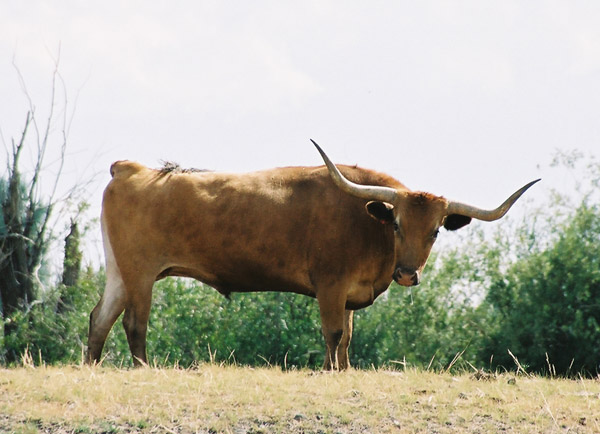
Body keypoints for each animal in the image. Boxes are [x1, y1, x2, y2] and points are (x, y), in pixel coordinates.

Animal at [85, 142, 540, 370]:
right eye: (396, 224)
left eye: (435, 231)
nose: (408, 274)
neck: (366, 222)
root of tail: (131, 168)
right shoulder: (330, 287)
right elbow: (333, 333)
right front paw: (328, 371)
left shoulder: (350, 293)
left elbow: (348, 338)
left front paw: (344, 370)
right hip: (141, 274)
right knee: (133, 323)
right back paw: (144, 368)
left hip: (120, 273)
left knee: (99, 318)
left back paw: (91, 366)